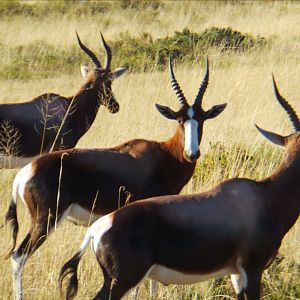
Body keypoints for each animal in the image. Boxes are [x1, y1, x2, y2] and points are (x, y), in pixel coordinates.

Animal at [4, 56, 226, 300]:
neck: (163, 154)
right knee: (18, 256)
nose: (192, 154)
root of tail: (24, 174)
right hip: (45, 221)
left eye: (202, 119)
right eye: (179, 120)